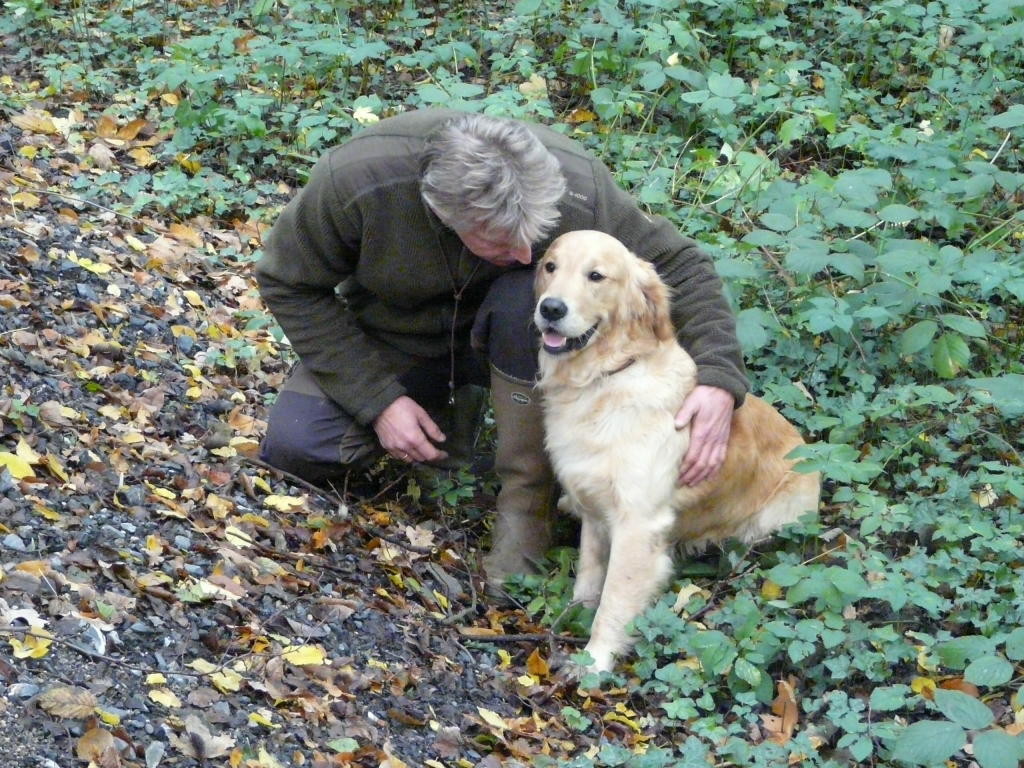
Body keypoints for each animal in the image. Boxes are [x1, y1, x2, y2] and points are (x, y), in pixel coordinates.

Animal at [536, 230, 815, 671]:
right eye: (550, 266)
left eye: (596, 276)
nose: (550, 307)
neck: (605, 378)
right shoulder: (595, 508)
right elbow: (589, 573)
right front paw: (574, 613)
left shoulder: (639, 524)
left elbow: (614, 601)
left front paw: (594, 662)